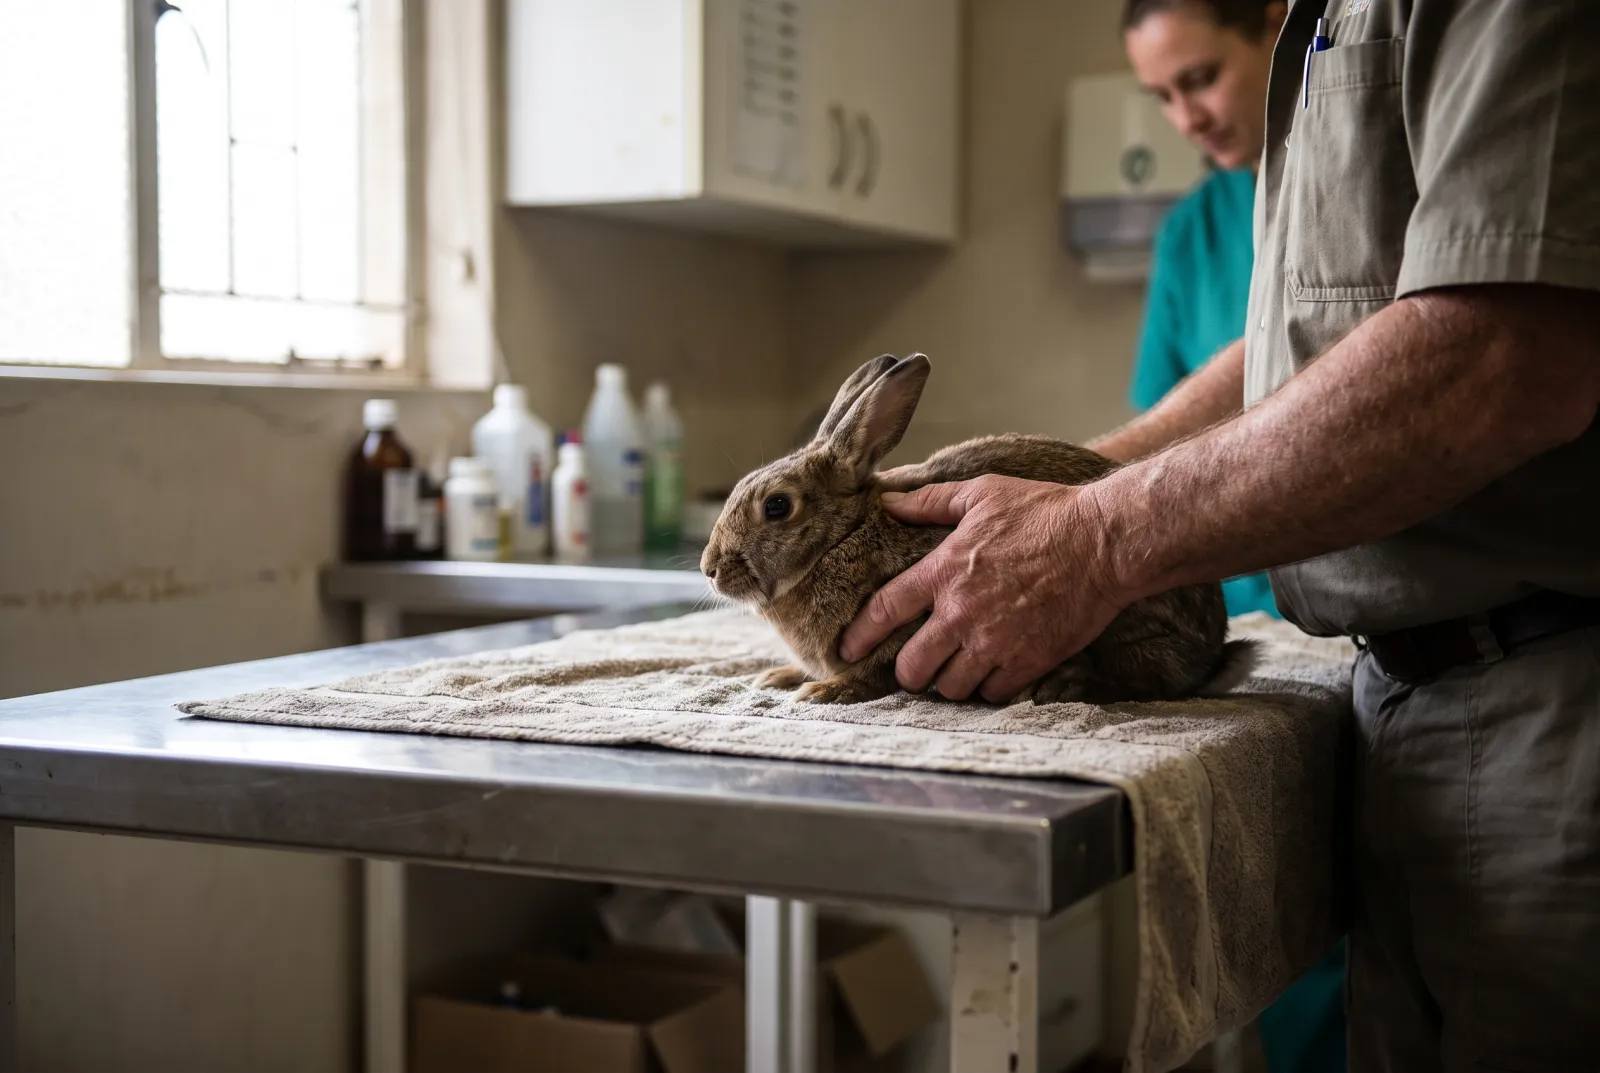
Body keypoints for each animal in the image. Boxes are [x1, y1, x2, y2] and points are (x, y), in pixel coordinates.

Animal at [700, 353, 1256, 705]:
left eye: (777, 507)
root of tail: (1212, 655)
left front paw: (824, 691)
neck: (844, 537)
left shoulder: (910, 629)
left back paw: (1063, 688)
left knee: (1143, 682)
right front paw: (777, 676)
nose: (709, 568)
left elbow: (876, 674)